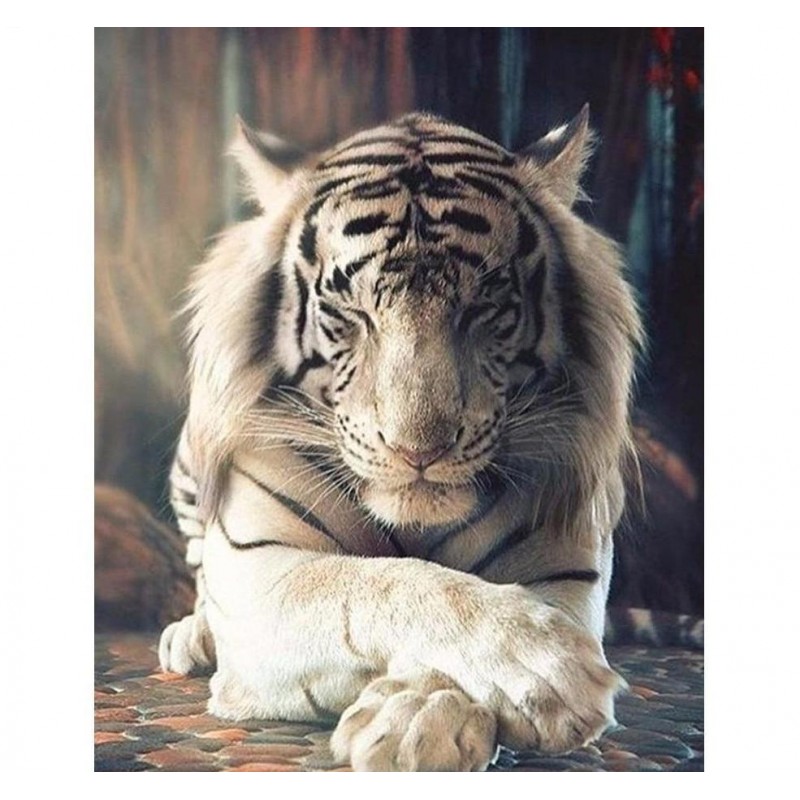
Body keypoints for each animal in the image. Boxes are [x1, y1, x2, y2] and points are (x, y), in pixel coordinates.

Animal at [158, 106, 644, 772]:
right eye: (350, 312)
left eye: (484, 307)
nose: (419, 451)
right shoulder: (261, 571)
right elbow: (381, 582)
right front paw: (546, 668)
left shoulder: (566, 570)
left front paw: (420, 719)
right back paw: (191, 635)